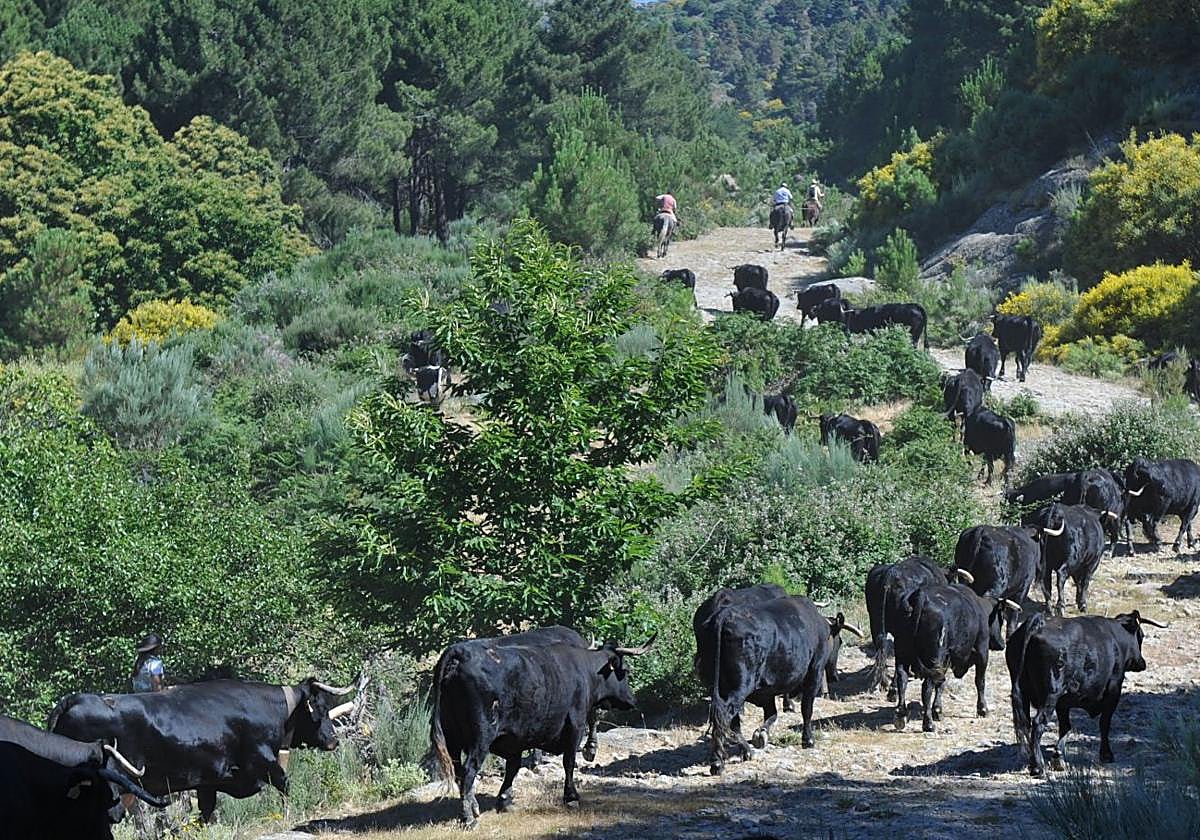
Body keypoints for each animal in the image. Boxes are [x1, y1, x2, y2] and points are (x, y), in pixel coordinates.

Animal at [50, 678, 357, 823]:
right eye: (319, 708)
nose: (333, 740)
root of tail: (75, 699)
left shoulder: (208, 781)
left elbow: (206, 812)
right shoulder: (263, 761)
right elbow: (285, 785)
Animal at [429, 638, 650, 828]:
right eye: (625, 671)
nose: (633, 700)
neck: (584, 671)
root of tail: (460, 652)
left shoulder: (515, 739)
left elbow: (513, 767)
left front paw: (505, 800)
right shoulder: (575, 725)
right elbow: (569, 761)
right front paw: (571, 797)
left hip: (452, 737)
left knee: (459, 771)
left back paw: (473, 807)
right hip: (481, 737)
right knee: (468, 771)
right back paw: (468, 819)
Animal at [701, 594, 860, 775]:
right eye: (839, 642)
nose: (834, 675)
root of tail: (724, 616)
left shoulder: (767, 691)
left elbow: (771, 714)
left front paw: (761, 734)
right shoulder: (814, 672)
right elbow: (807, 709)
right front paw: (808, 740)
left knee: (730, 720)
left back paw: (746, 751)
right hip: (739, 687)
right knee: (724, 715)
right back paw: (718, 762)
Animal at [890, 583, 1015, 732]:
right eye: (1001, 617)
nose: (1002, 644)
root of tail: (921, 595)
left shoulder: (946, 659)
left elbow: (941, 683)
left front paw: (937, 710)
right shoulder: (982, 652)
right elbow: (980, 681)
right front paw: (982, 709)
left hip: (902, 654)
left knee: (902, 678)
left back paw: (900, 715)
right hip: (934, 658)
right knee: (926, 686)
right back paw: (928, 723)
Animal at [1008, 610, 1166, 776]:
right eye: (1141, 635)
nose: (1142, 662)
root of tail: (1039, 621)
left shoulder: (1063, 702)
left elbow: (1065, 726)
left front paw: (1059, 757)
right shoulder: (1114, 690)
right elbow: (1104, 723)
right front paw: (1106, 754)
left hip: (1024, 693)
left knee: (1026, 724)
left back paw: (1033, 762)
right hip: (1050, 694)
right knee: (1038, 723)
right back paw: (1038, 766)